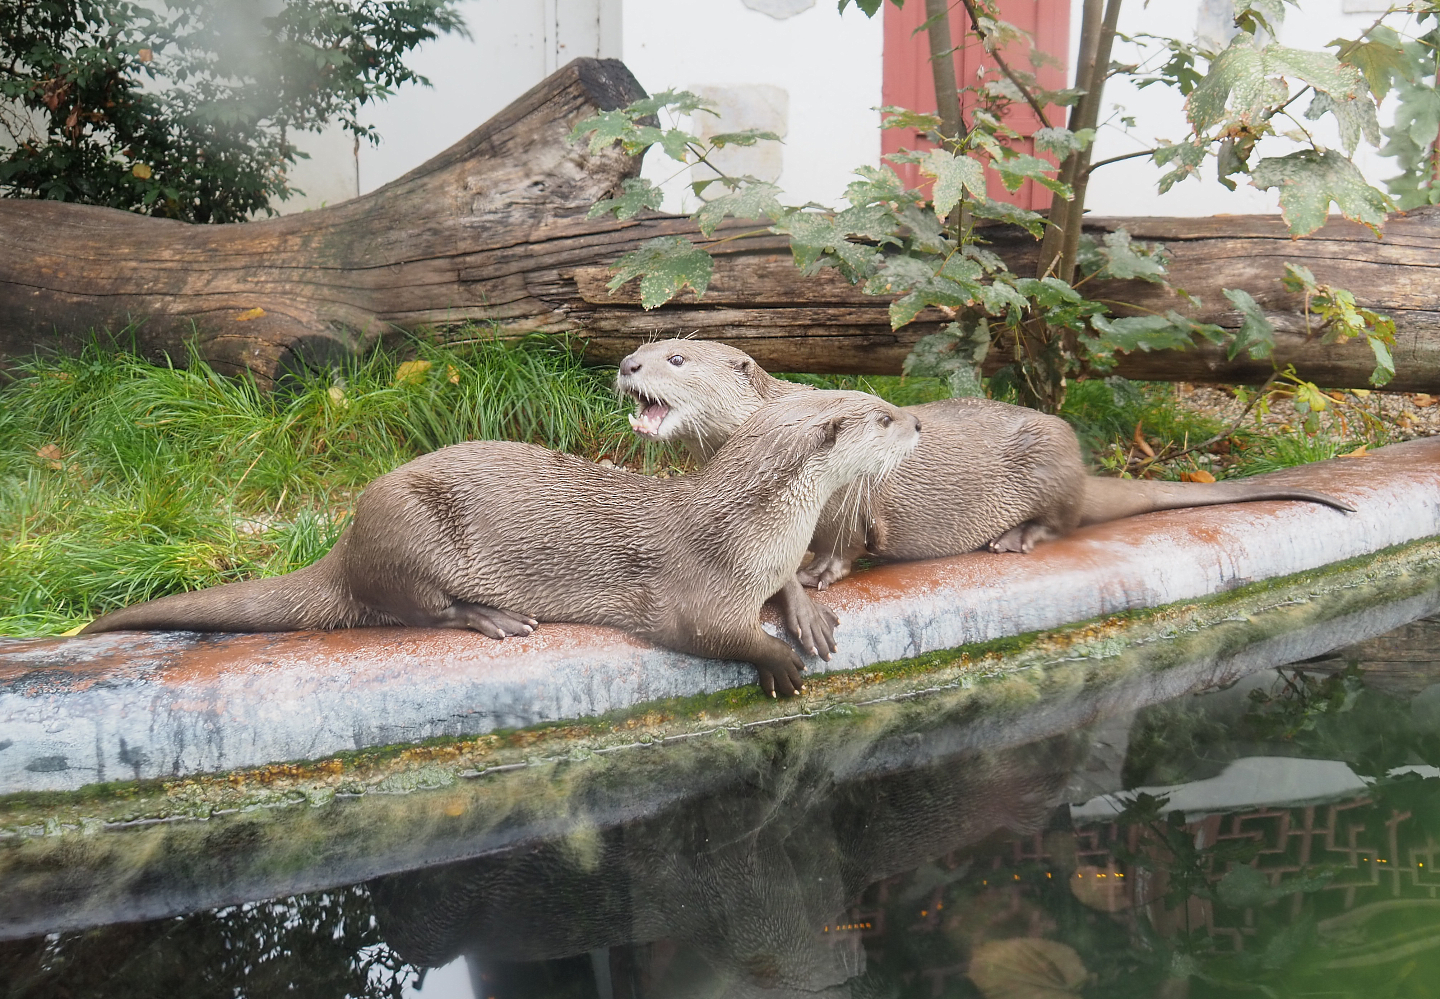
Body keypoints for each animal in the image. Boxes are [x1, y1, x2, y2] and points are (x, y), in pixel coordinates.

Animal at [79, 391, 921, 697]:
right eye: (883, 415)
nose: (919, 421)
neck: (755, 529)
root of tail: (346, 543)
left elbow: (787, 582)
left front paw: (805, 611)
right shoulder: (694, 590)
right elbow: (716, 633)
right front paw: (777, 659)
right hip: (409, 535)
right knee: (416, 609)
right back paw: (494, 617)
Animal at [617, 339, 1353, 593]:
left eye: (675, 358)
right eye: (644, 348)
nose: (626, 364)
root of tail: (1080, 464)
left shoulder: (851, 491)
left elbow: (844, 540)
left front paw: (817, 573)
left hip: (1049, 456)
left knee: (1063, 520)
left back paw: (1015, 536)